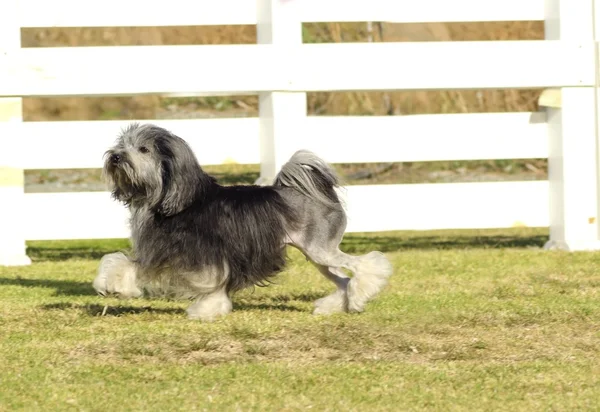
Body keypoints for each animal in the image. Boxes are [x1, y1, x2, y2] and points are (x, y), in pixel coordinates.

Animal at [92, 123, 394, 322]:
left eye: (143, 149)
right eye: (122, 144)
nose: (115, 156)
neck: (176, 200)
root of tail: (317, 192)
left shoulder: (202, 256)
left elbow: (213, 283)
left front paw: (207, 310)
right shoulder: (158, 252)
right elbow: (119, 261)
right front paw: (111, 284)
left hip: (322, 250)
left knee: (367, 264)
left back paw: (360, 296)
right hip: (317, 256)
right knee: (343, 280)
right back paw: (336, 305)